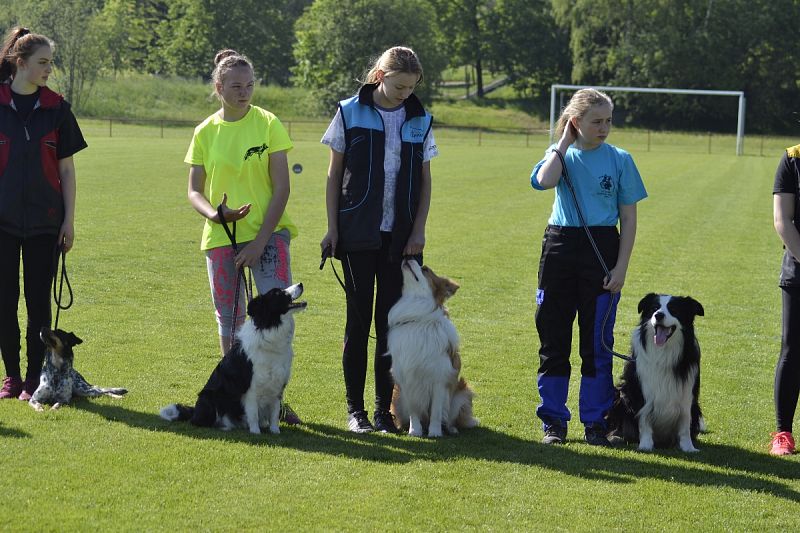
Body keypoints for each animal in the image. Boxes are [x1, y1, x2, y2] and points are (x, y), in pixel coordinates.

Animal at [160, 282, 306, 432]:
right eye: (278, 293)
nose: (300, 284)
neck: (270, 329)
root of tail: (195, 411)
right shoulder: (251, 387)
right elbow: (253, 413)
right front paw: (255, 432)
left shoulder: (278, 384)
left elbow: (274, 413)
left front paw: (275, 432)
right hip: (209, 397)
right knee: (200, 421)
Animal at [608, 294, 704, 450]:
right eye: (654, 308)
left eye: (673, 309)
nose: (658, 315)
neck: (663, 351)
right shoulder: (640, 390)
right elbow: (644, 418)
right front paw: (646, 445)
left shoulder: (686, 392)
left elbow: (684, 422)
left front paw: (688, 447)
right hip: (620, 394)